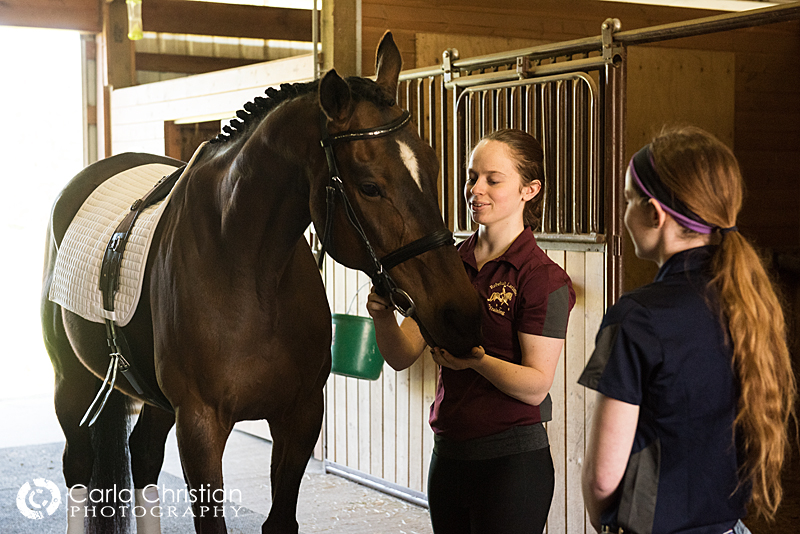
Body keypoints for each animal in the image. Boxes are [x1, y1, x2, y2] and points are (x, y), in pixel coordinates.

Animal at [40, 34, 482, 534]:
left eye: (433, 165)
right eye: (369, 186)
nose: (461, 313)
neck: (250, 273)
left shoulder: (300, 417)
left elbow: (280, 519)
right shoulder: (200, 426)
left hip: (155, 402)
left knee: (144, 456)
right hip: (71, 382)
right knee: (79, 466)